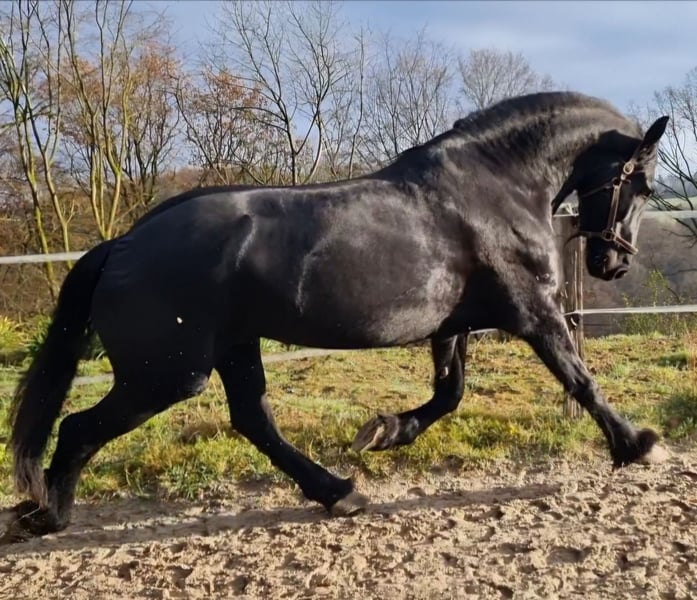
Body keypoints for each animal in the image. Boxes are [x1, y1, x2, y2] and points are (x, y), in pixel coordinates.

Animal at [4, 91, 669, 541]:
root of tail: (122, 244)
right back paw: (50, 514)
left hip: (232, 348)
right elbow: (579, 379)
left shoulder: (453, 324)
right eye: (644, 187)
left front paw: (385, 431)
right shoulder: (533, 311)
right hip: (168, 373)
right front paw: (638, 445)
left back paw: (339, 493)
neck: (493, 188)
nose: (614, 263)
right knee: (79, 428)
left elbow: (448, 393)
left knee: (254, 421)